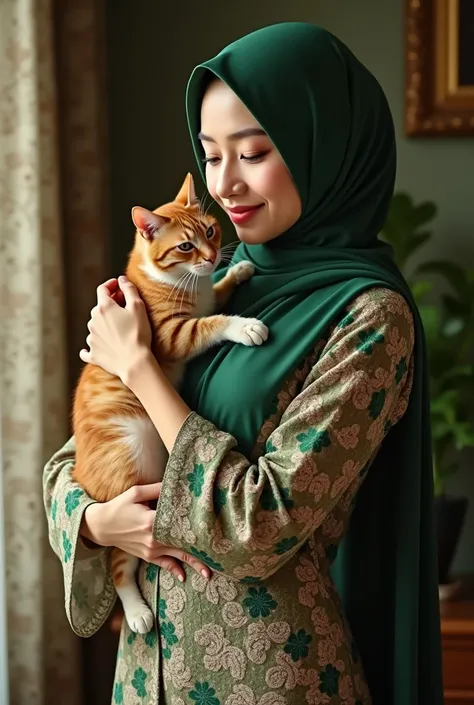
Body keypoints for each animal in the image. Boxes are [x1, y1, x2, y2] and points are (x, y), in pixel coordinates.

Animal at [72, 175, 268, 632]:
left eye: (210, 232)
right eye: (184, 246)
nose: (212, 258)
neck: (183, 281)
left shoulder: (207, 294)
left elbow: (217, 295)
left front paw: (237, 270)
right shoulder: (172, 335)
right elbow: (211, 323)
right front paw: (245, 326)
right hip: (129, 470)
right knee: (119, 562)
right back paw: (138, 613)